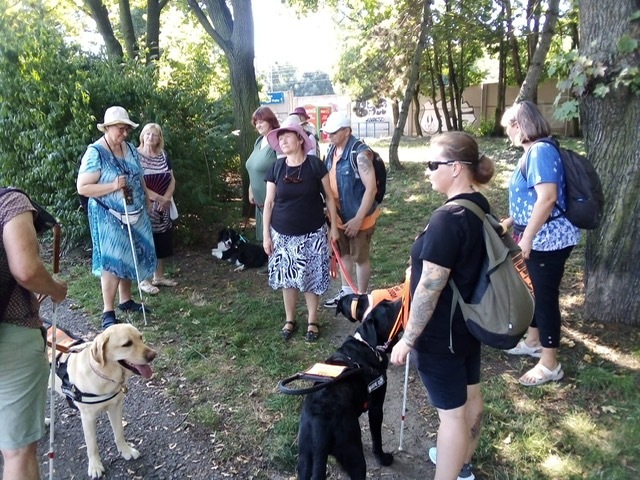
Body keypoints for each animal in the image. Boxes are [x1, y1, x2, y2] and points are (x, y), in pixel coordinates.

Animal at [53, 324, 156, 478]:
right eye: (127, 344)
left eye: (141, 337)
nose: (153, 355)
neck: (103, 373)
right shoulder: (88, 417)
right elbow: (92, 445)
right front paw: (95, 466)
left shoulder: (115, 407)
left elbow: (119, 432)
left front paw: (126, 450)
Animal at [297, 299, 402, 480]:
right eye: (387, 308)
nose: (401, 299)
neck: (367, 344)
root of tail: (318, 432)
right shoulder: (376, 408)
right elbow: (377, 438)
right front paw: (382, 458)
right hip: (354, 456)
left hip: (304, 460)